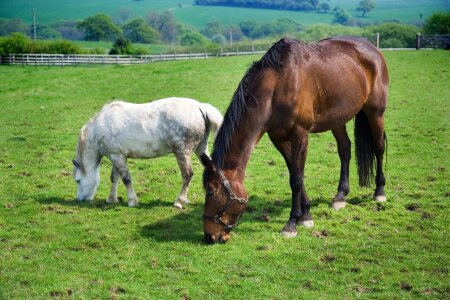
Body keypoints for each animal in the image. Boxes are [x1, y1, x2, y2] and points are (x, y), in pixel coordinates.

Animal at [71, 97, 223, 207]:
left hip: (182, 152)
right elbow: (115, 178)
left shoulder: (118, 157)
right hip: (201, 149)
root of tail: (200, 107)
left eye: (78, 180)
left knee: (187, 175)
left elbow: (126, 179)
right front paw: (112, 198)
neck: (100, 128)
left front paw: (132, 201)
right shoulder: (116, 156)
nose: (80, 199)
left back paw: (179, 201)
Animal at [200, 37, 386, 244]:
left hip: (375, 112)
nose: (210, 236)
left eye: (210, 192)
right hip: (338, 119)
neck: (277, 85)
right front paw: (306, 216)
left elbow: (296, 179)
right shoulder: (279, 138)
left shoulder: (300, 134)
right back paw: (340, 197)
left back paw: (379, 192)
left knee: (379, 147)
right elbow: (295, 173)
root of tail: (370, 47)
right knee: (345, 150)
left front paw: (291, 224)